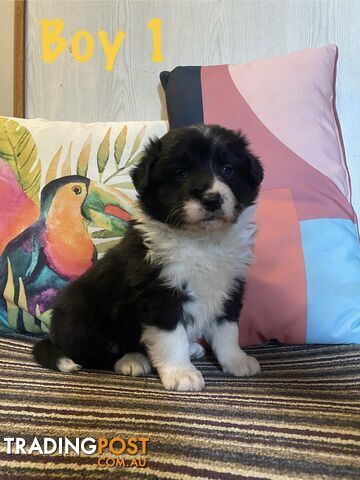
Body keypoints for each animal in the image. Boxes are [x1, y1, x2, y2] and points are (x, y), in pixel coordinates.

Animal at [33, 125, 264, 392]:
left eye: (227, 168)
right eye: (180, 172)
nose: (212, 199)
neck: (201, 241)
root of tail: (53, 336)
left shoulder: (230, 284)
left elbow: (227, 329)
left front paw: (236, 361)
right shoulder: (159, 292)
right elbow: (171, 336)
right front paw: (181, 374)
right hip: (84, 314)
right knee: (96, 353)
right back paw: (132, 360)